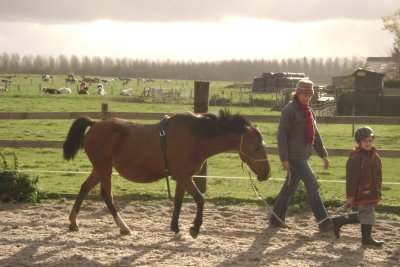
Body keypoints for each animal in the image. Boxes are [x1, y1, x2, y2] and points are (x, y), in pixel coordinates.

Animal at [63, 109, 272, 239]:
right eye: (256, 145)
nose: (267, 173)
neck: (196, 137)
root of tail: (95, 124)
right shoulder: (184, 176)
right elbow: (200, 199)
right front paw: (194, 229)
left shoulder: (183, 177)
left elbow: (179, 202)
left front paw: (176, 229)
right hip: (104, 169)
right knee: (106, 195)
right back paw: (123, 227)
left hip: (99, 169)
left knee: (84, 188)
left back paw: (73, 223)